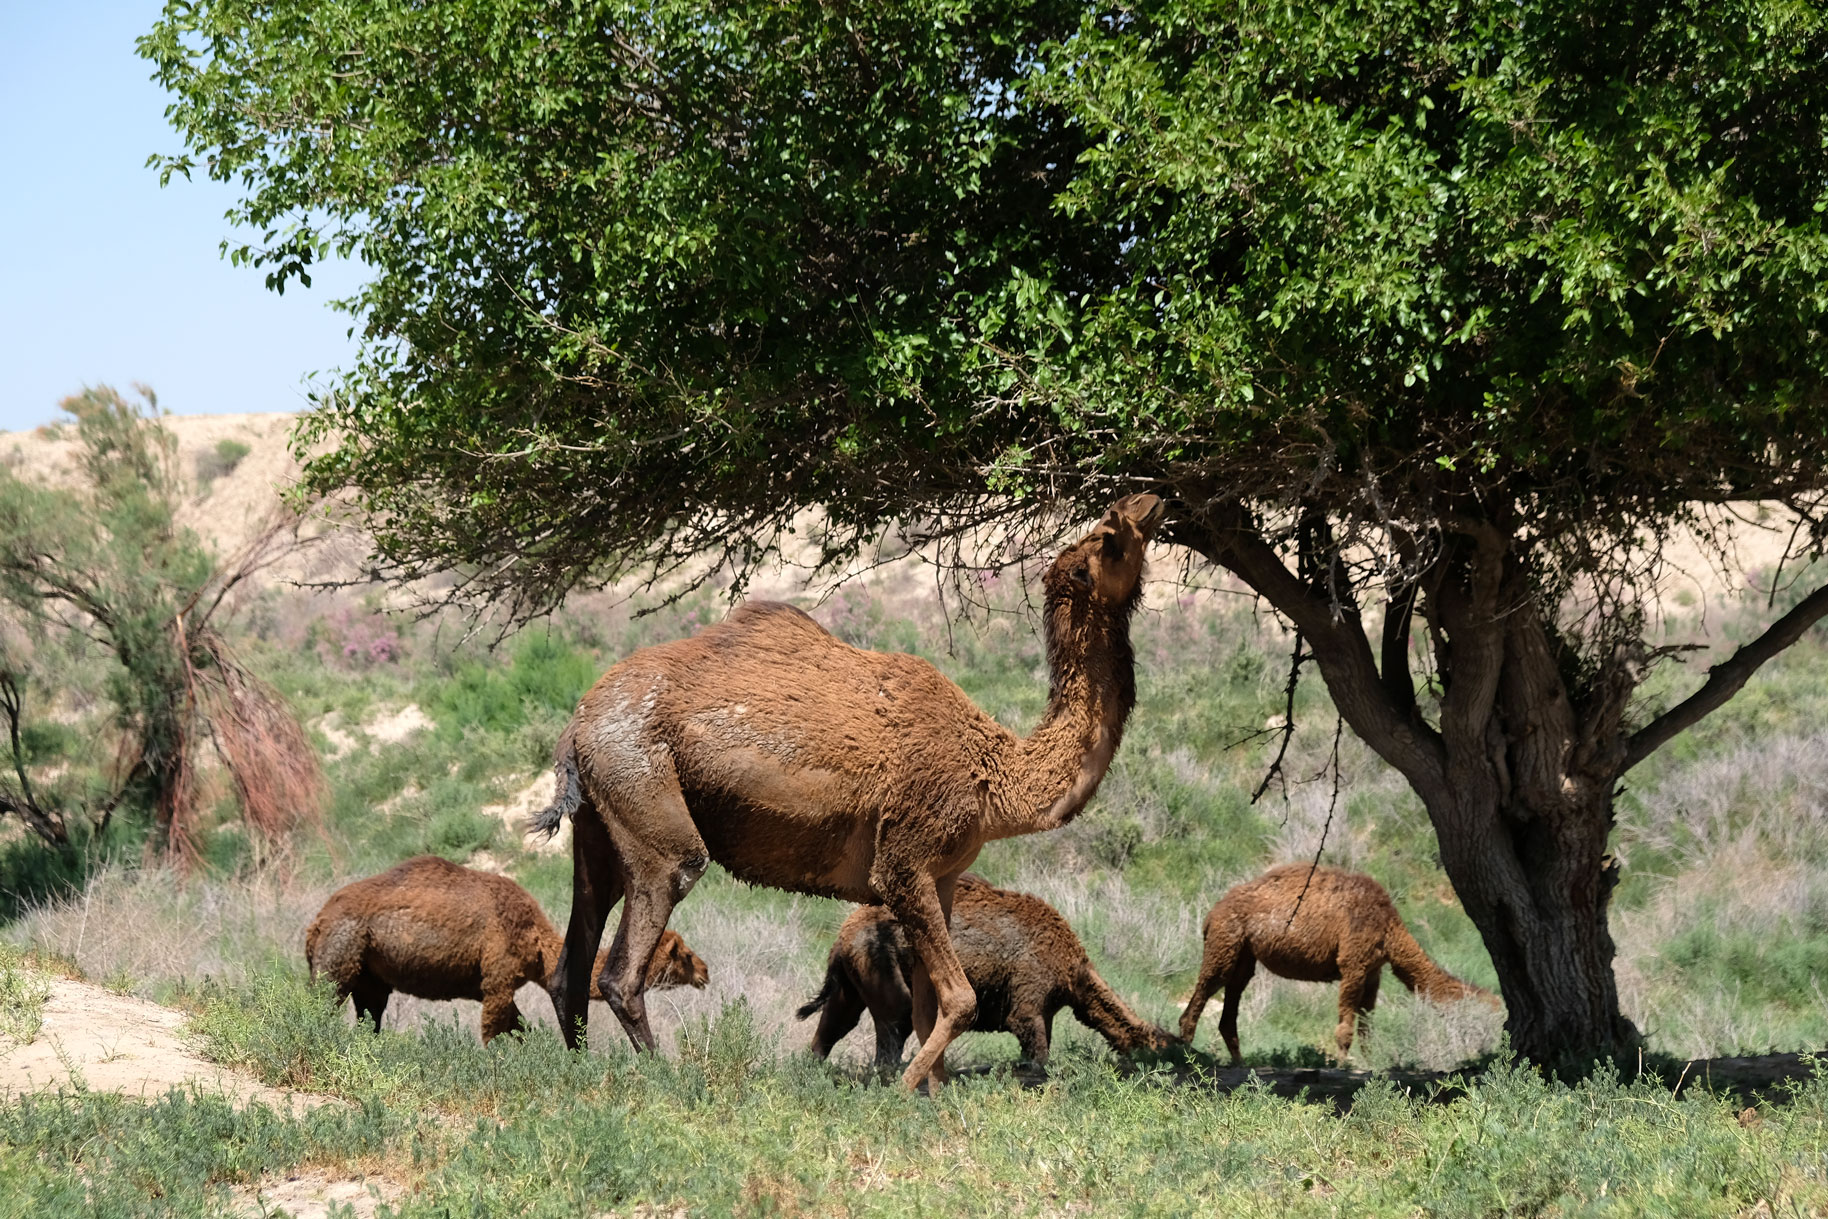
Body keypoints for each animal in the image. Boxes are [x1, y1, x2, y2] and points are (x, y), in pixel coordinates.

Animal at [307, 855, 705, 1045]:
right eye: (684, 955)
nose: (705, 972)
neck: (538, 944)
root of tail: (317, 923)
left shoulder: (504, 985)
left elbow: (521, 1029)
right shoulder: (497, 978)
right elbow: (491, 1032)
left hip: (370, 973)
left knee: (369, 1014)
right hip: (340, 953)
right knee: (324, 1000)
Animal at [797, 877, 1169, 1067]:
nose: (1168, 1068)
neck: (1072, 973)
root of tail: (842, 934)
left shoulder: (1046, 1002)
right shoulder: (1030, 984)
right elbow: (1032, 1039)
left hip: (853, 975)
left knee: (837, 1019)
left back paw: (812, 1065)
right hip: (883, 963)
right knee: (894, 1022)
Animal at [1177, 862, 1491, 1060]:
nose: (1487, 1043)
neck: (1388, 928)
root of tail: (1211, 915)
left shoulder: (1373, 972)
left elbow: (1366, 1028)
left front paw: (1372, 1066)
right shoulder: (1354, 964)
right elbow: (1346, 1030)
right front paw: (1342, 1066)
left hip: (1244, 955)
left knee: (1229, 1009)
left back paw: (1240, 1064)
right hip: (1224, 943)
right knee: (1199, 999)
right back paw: (1187, 1057)